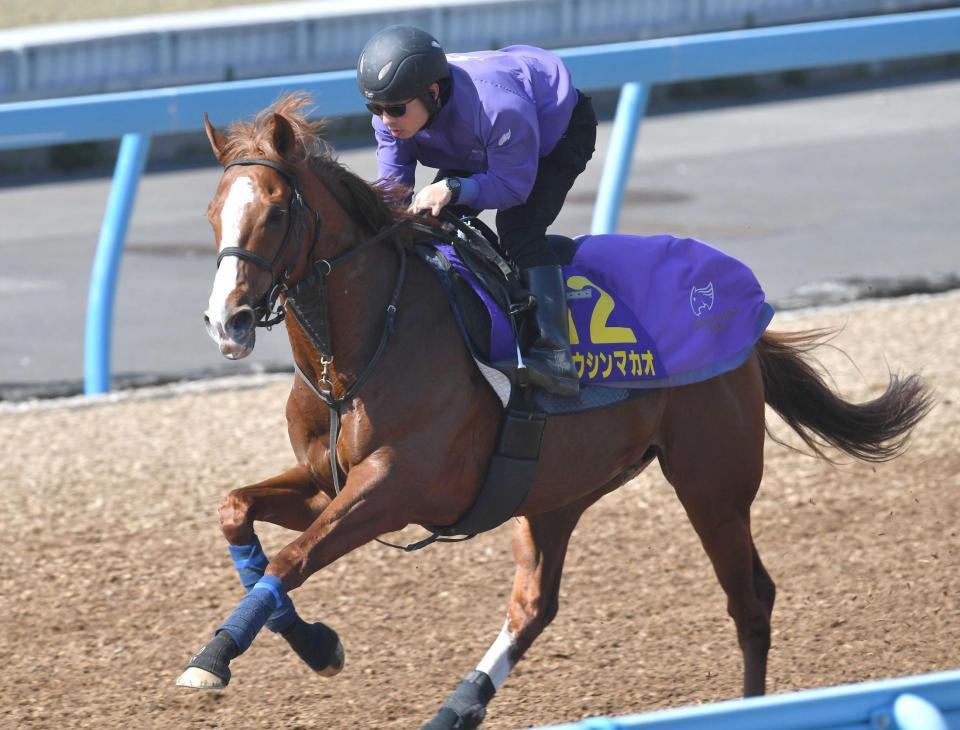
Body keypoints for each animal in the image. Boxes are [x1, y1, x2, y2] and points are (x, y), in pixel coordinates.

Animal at [178, 96, 928, 728]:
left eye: (276, 212)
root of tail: (749, 305)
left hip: (712, 481)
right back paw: (458, 706)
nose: (226, 322)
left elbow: (292, 559)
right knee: (536, 603)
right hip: (552, 490)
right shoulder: (328, 480)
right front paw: (315, 645)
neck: (359, 352)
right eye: (214, 212)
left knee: (750, 600)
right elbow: (236, 512)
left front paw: (215, 658)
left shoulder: (396, 486)